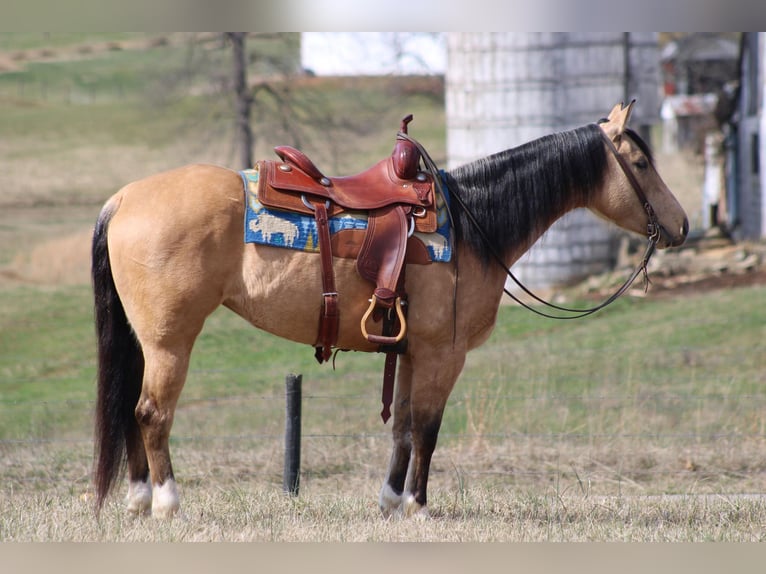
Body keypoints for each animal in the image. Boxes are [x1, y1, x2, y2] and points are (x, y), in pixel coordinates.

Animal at [90, 101, 688, 520]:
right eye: (639, 162)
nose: (681, 226)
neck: (473, 228)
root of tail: (124, 198)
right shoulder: (443, 354)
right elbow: (427, 428)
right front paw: (419, 506)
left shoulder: (408, 351)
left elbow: (401, 426)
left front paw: (389, 501)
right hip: (170, 341)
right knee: (152, 413)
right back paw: (167, 503)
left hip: (145, 342)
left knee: (131, 411)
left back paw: (138, 500)